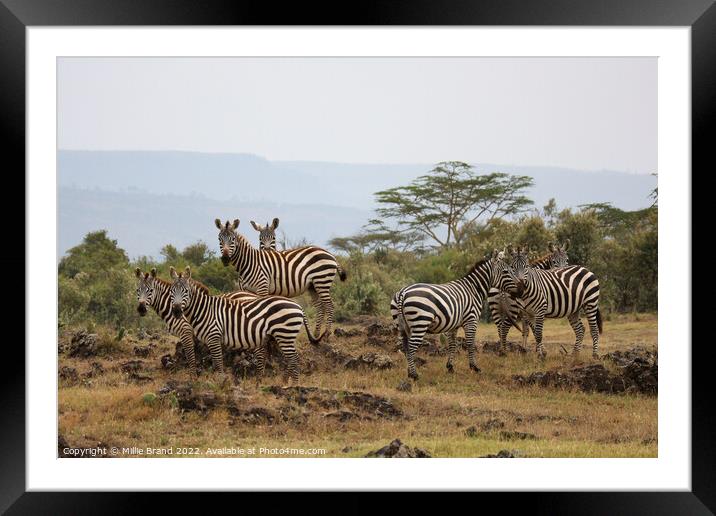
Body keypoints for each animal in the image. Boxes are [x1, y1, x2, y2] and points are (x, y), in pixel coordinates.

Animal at [168, 266, 322, 382]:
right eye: (171, 291)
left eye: (186, 291)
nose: (176, 311)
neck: (205, 310)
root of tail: (298, 306)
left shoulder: (214, 337)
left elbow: (218, 363)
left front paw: (220, 382)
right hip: (287, 336)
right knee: (292, 358)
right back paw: (285, 382)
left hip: (285, 334)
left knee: (294, 358)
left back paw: (293, 386)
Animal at [214, 218, 346, 338]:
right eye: (219, 239)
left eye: (232, 240)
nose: (225, 258)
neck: (248, 263)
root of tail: (331, 255)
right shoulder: (245, 290)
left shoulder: (262, 288)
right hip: (313, 286)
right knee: (320, 306)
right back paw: (316, 333)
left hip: (322, 281)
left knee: (329, 305)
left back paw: (327, 333)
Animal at [392, 252, 516, 380]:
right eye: (506, 271)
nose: (520, 288)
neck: (474, 289)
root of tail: (403, 292)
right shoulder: (471, 320)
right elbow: (470, 343)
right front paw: (474, 367)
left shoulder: (453, 325)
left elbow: (452, 345)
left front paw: (450, 367)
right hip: (420, 322)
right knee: (411, 348)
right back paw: (414, 375)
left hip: (401, 325)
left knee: (405, 347)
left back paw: (409, 372)